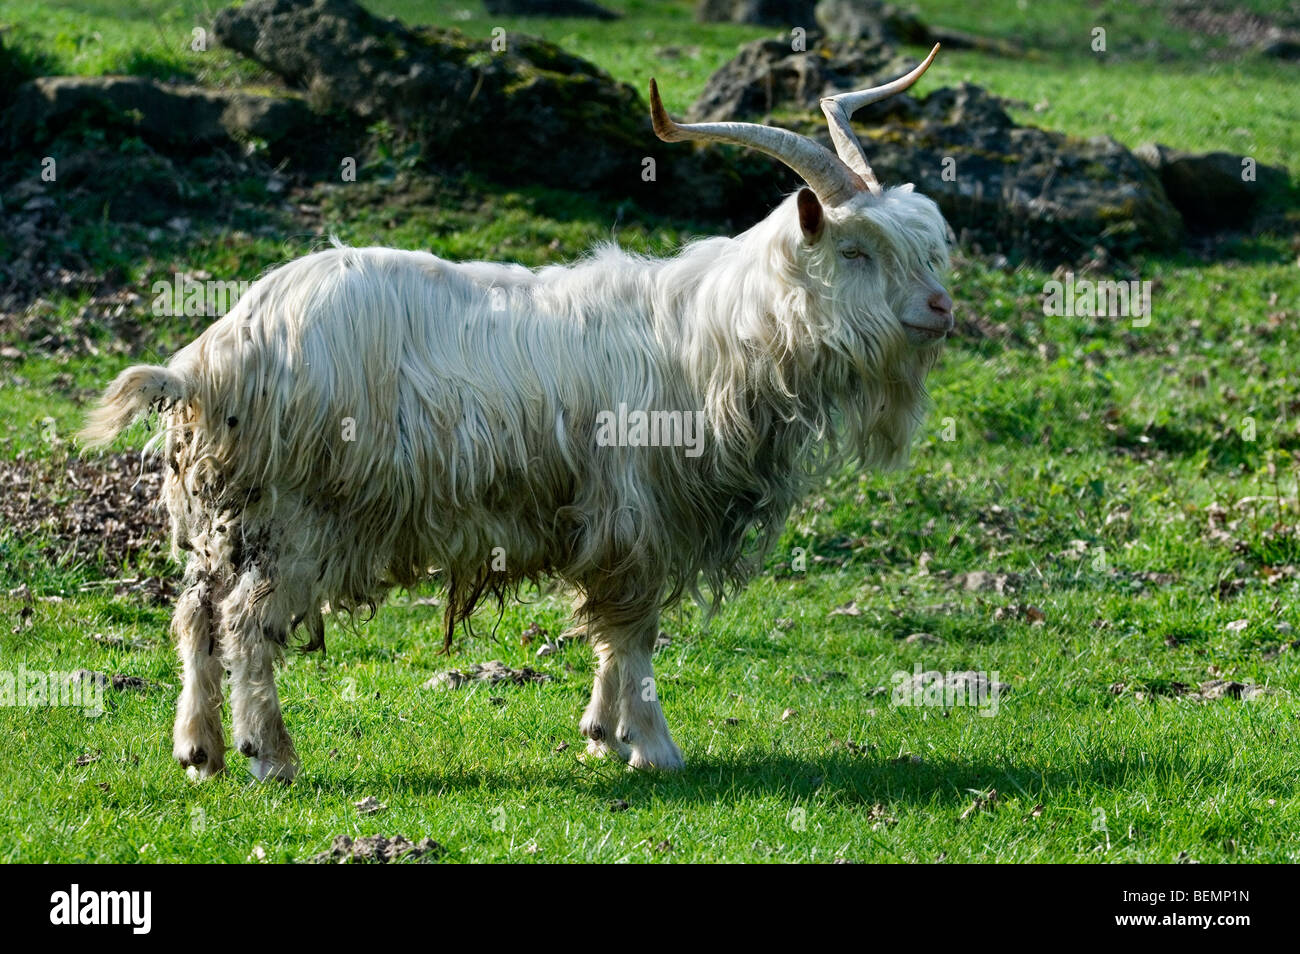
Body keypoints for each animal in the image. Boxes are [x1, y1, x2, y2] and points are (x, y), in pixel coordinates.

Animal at [81, 44, 956, 779]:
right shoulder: (638, 512)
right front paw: (654, 747)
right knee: (245, 621)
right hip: (299, 515)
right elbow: (633, 633)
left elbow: (611, 632)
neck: (710, 337)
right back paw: (269, 754)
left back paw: (198, 749)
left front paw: (602, 734)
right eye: (855, 252)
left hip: (228, 511)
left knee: (195, 611)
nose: (941, 309)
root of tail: (214, 355)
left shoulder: (612, 523)